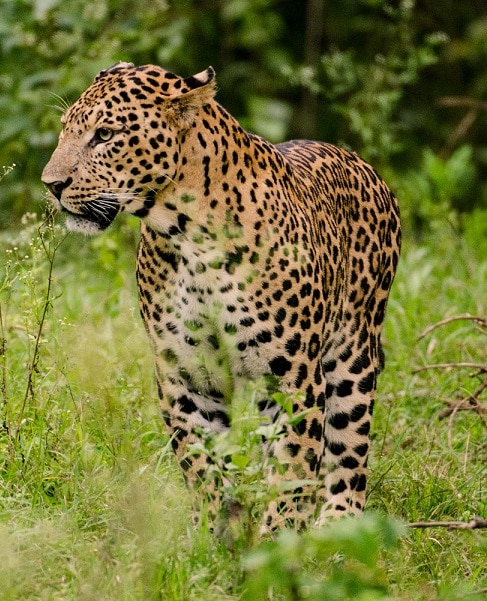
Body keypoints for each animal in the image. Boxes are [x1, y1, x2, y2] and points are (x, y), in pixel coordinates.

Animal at [41, 61, 400, 528]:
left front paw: (277, 538)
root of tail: (362, 163)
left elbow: (292, 472)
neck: (187, 236)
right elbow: (203, 466)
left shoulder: (294, 378)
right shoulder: (186, 376)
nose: (51, 184)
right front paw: (216, 534)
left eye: (104, 135)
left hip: (352, 356)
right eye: (65, 129)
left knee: (349, 451)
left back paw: (337, 524)